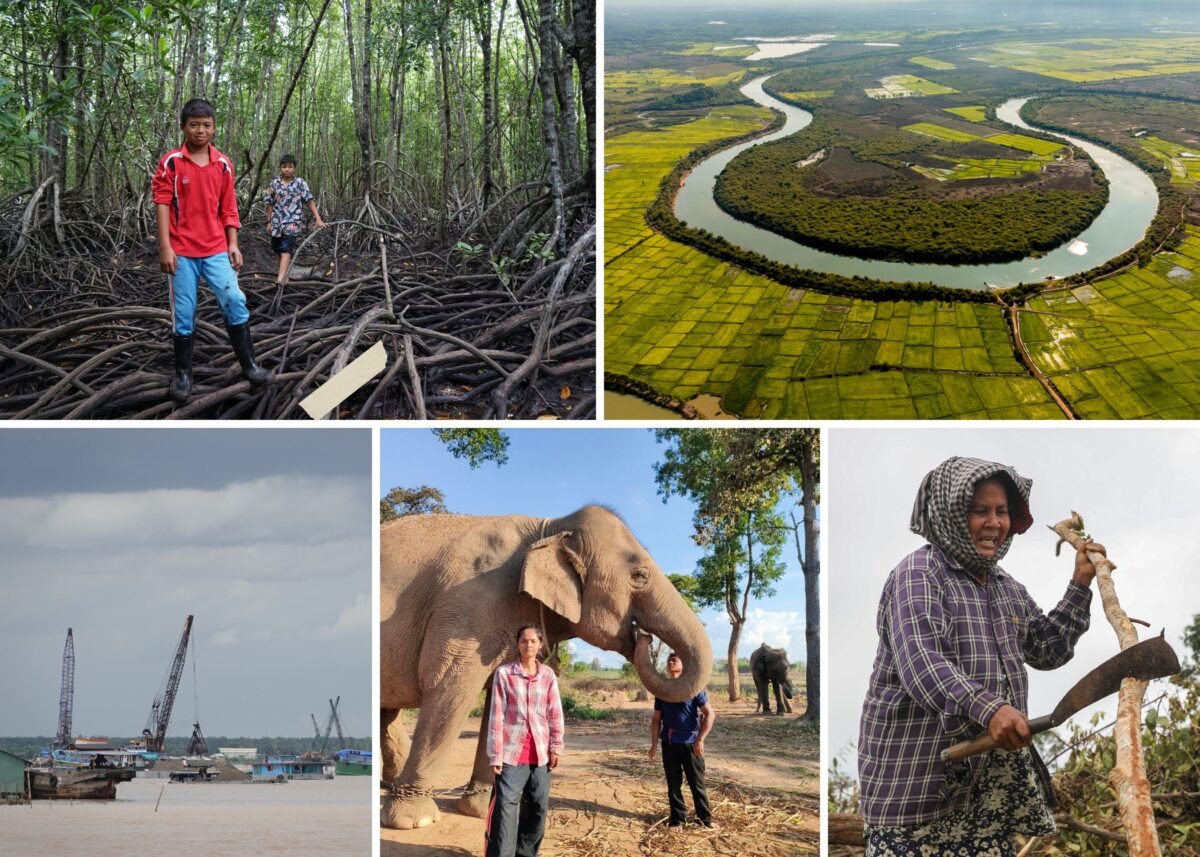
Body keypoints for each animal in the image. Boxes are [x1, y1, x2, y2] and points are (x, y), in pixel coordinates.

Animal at [379, 504, 710, 825]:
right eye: (640, 575)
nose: (642, 636)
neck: (549, 526)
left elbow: (495, 700)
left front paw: (482, 807)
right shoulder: (467, 608)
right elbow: (447, 687)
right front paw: (413, 820)